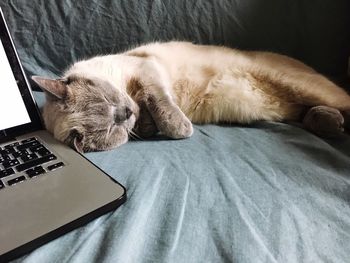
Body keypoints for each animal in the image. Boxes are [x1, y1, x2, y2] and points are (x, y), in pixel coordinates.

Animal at [32, 41, 350, 153]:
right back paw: (330, 125)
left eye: (108, 101)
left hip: (301, 86)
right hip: (295, 104)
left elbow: (160, 104)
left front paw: (179, 129)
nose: (124, 113)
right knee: (308, 114)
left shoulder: (146, 71)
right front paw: (148, 127)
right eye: (111, 128)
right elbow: (150, 118)